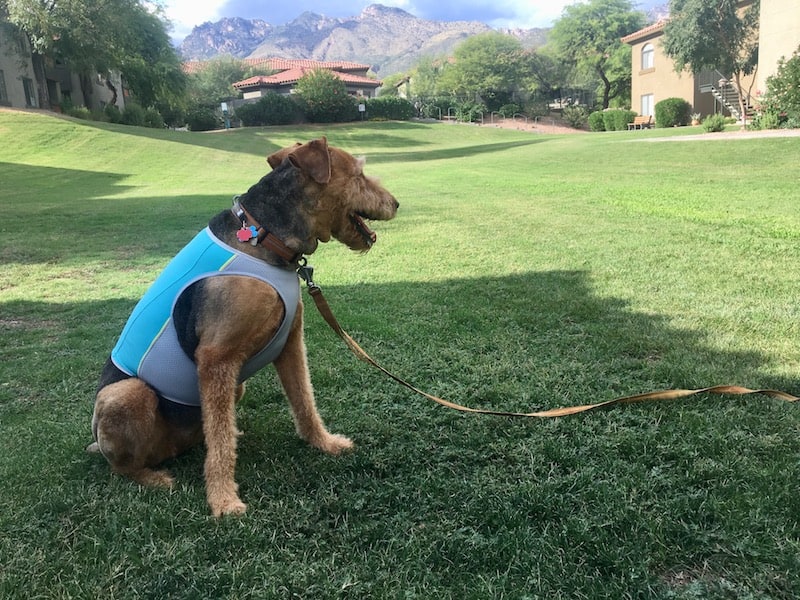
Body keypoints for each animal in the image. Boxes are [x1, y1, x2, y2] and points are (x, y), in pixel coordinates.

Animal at [89, 136, 398, 516]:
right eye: (359, 173)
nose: (396, 203)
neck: (263, 237)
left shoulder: (290, 343)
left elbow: (304, 402)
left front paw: (325, 443)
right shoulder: (216, 359)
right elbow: (221, 449)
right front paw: (224, 500)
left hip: (235, 387)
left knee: (213, 431)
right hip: (126, 395)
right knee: (126, 464)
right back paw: (155, 478)